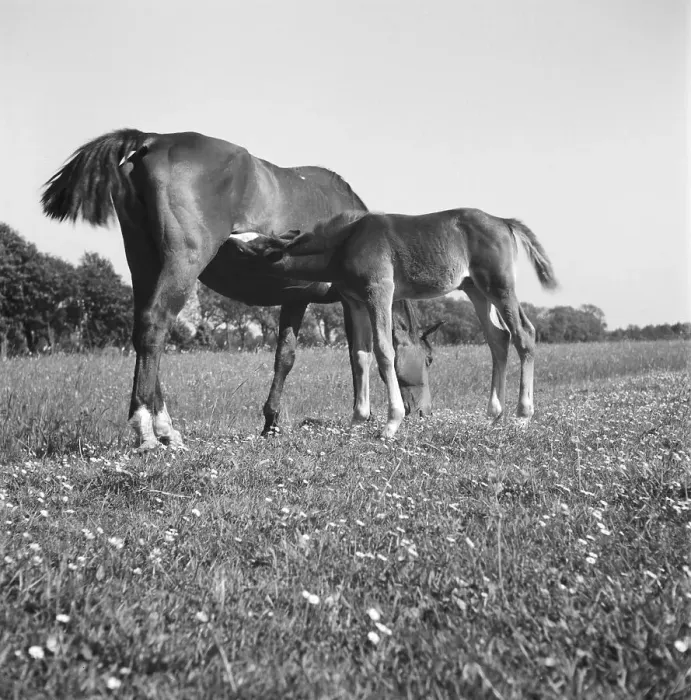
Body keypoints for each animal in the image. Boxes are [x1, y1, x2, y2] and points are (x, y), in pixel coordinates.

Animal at [41, 130, 438, 450]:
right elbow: (360, 355)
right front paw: (361, 419)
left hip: (143, 264)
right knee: (155, 327)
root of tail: (153, 140)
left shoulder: (295, 298)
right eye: (430, 359)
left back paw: (165, 427)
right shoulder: (350, 299)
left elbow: (285, 357)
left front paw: (271, 423)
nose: (424, 411)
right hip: (181, 264)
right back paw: (152, 431)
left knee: (143, 333)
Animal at [226, 208, 558, 438]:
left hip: (499, 286)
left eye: (248, 250)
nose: (228, 238)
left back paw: (522, 416)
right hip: (475, 289)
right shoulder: (356, 302)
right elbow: (360, 355)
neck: (344, 244)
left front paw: (390, 424)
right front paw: (357, 422)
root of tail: (504, 221)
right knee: (498, 339)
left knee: (524, 334)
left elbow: (384, 350)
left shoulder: (379, 292)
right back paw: (493, 415)